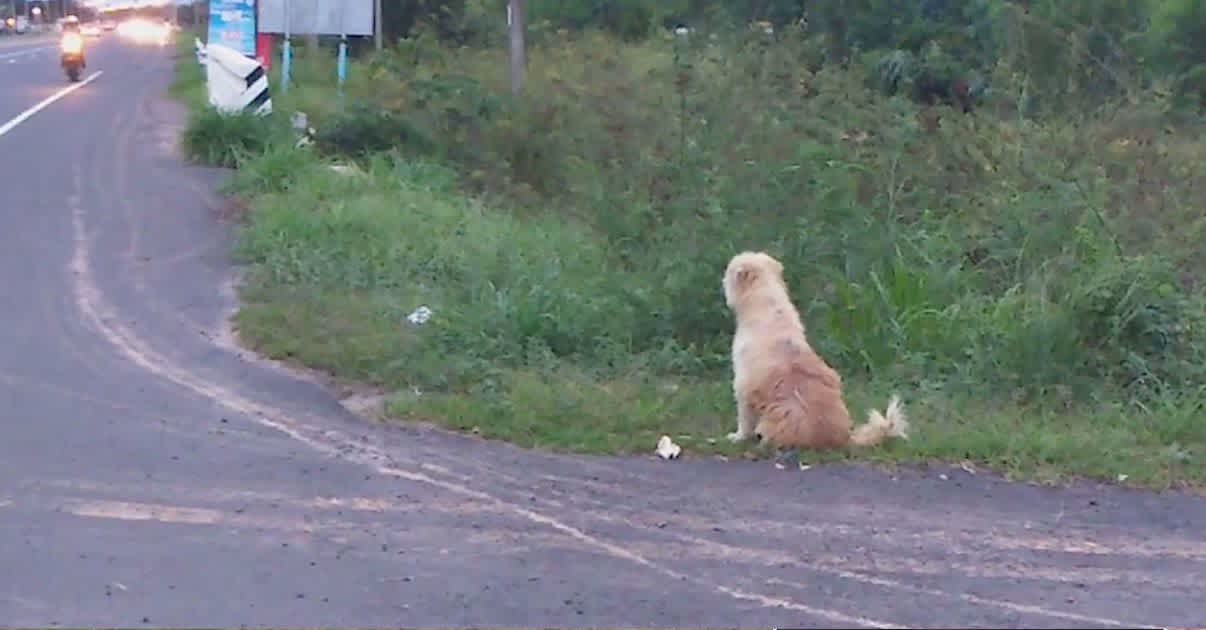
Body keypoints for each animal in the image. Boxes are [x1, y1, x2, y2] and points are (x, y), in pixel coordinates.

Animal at [718, 249, 906, 451]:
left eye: (729, 270)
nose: (722, 280)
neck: (767, 303)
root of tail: (845, 438)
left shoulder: (743, 385)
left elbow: (744, 419)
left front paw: (737, 437)